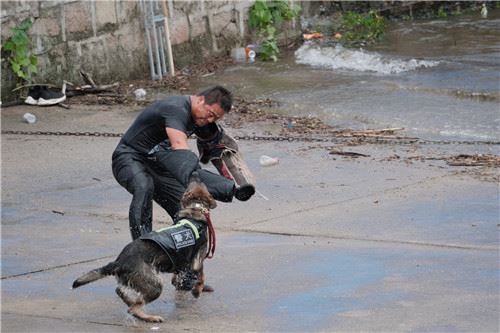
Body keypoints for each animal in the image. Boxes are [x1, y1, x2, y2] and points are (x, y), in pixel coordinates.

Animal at [72, 172, 217, 322]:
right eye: (199, 182)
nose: (195, 173)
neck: (196, 208)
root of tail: (119, 262)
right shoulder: (197, 260)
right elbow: (201, 275)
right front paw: (197, 290)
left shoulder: (181, 262)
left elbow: (181, 275)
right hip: (155, 284)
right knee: (134, 308)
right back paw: (150, 317)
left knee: (123, 294)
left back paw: (133, 303)